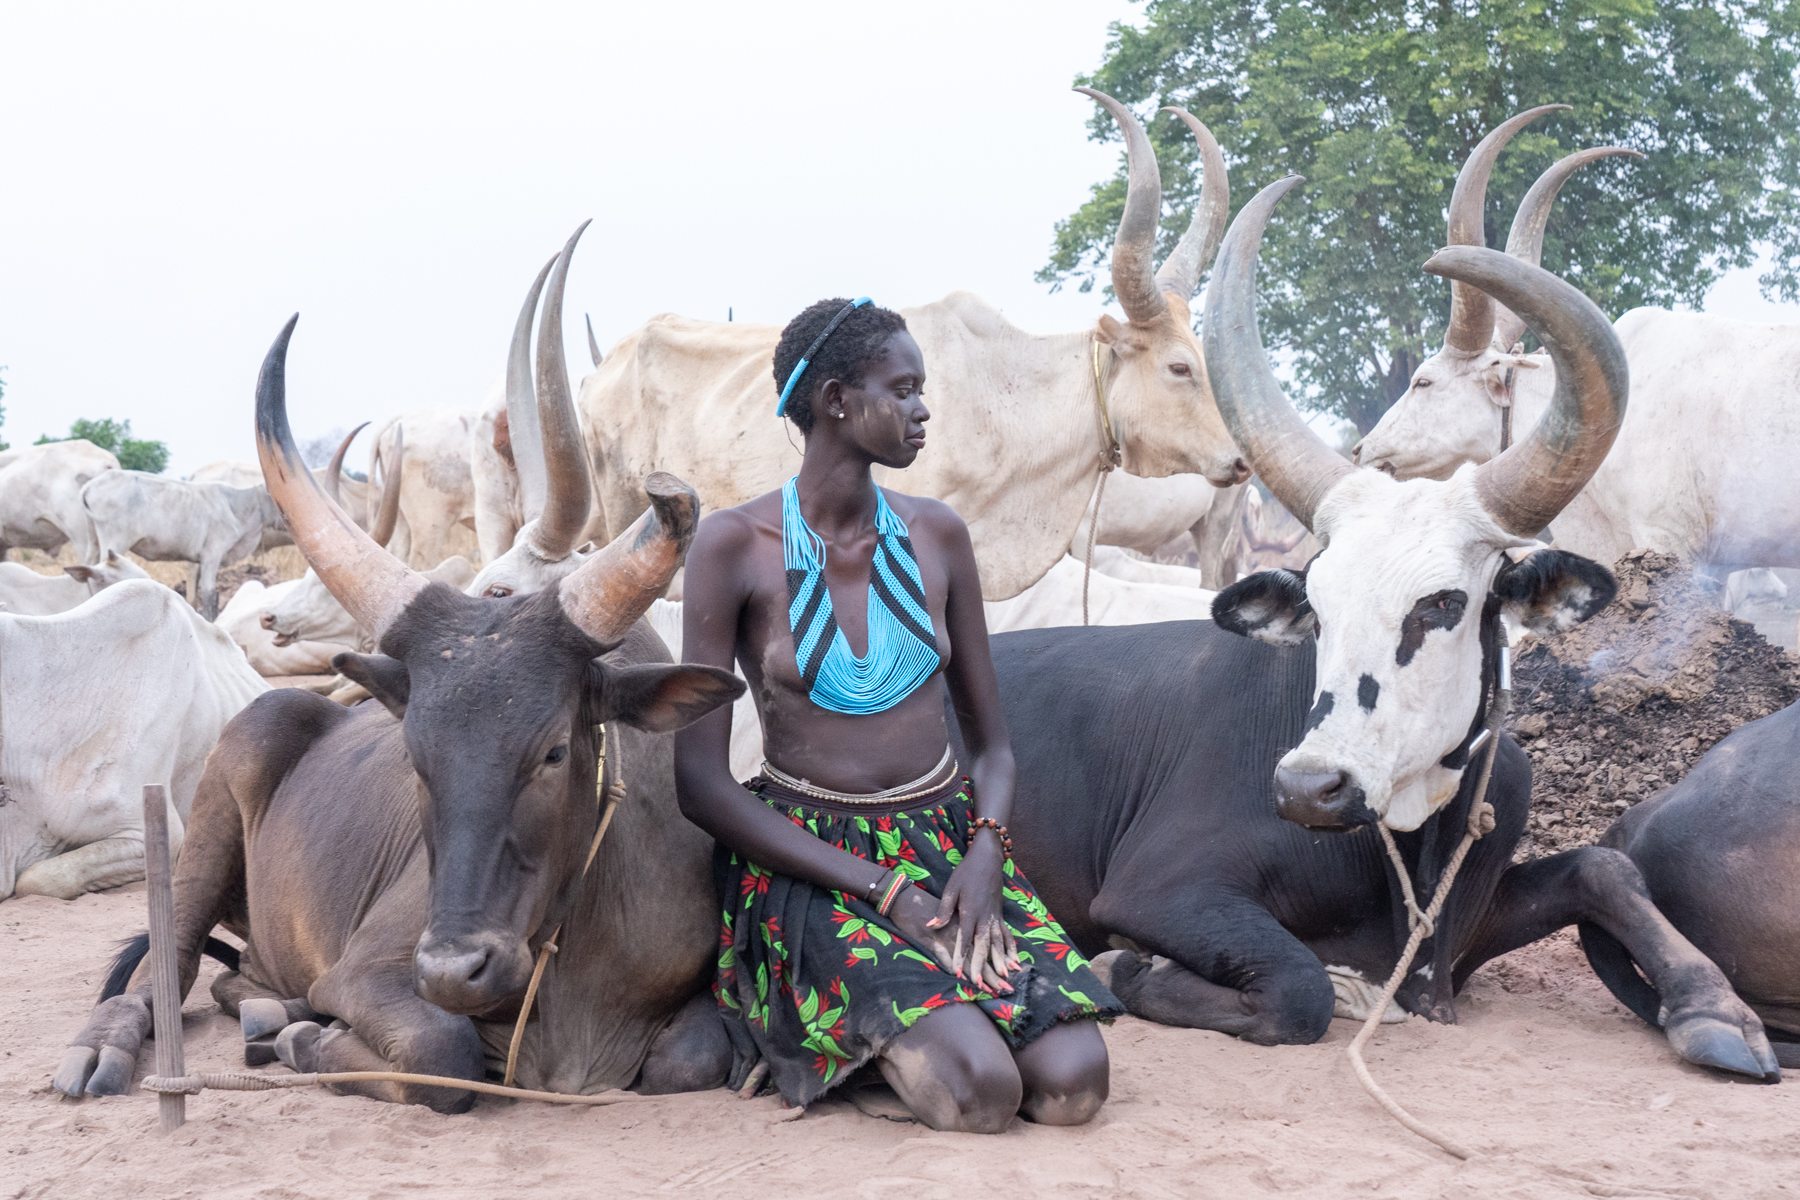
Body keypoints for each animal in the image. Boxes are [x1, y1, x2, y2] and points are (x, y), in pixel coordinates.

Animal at [54, 316, 744, 1109]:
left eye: (553, 752)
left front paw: (301, 1031)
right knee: (166, 970)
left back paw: (272, 1009)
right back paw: (115, 1047)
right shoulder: (371, 971)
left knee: (237, 979)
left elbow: (692, 1057)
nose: (452, 970)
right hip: (206, 826)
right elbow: (442, 1051)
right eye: (413, 756)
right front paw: (312, 1043)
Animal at [958, 178, 1778, 1084]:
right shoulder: (1158, 888)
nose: (1308, 789)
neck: (1412, 842)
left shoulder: (1463, 930)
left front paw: (1714, 1009)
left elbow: (1605, 867)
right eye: (1317, 604)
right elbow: (1301, 988)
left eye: (1442, 604)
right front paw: (1125, 966)